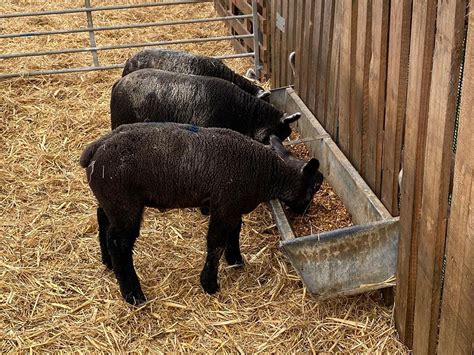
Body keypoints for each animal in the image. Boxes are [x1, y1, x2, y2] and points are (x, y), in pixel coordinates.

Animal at [79, 123, 324, 306]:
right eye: (315, 186)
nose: (306, 211)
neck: (267, 173)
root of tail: (96, 148)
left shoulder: (232, 207)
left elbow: (234, 232)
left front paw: (236, 261)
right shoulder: (224, 205)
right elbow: (215, 243)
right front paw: (209, 284)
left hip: (112, 201)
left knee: (102, 219)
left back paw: (108, 263)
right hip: (124, 203)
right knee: (119, 243)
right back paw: (133, 294)